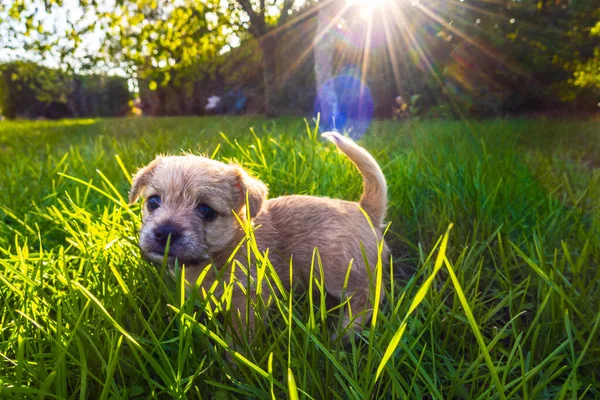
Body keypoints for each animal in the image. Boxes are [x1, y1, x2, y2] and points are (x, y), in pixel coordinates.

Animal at [129, 131, 390, 340]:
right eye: (153, 202)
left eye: (206, 211)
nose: (164, 232)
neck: (223, 252)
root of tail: (364, 209)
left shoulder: (248, 299)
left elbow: (238, 339)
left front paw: (235, 364)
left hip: (337, 269)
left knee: (367, 299)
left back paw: (343, 335)